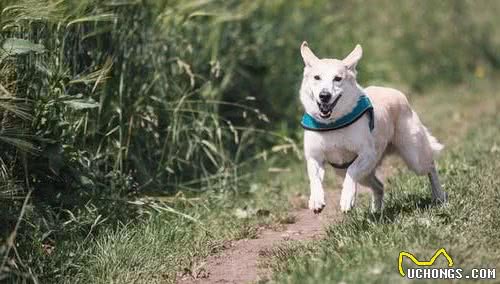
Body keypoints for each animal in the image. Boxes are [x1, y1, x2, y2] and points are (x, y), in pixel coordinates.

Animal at [298, 41, 448, 213]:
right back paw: (376, 212)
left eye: (337, 78)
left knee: (430, 166)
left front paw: (346, 199)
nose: (324, 95)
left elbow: (352, 171)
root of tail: (397, 93)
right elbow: (314, 178)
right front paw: (316, 200)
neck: (333, 124)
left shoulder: (367, 154)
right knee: (379, 186)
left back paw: (439, 196)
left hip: (414, 157)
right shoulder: (314, 157)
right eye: (317, 77)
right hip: (351, 171)